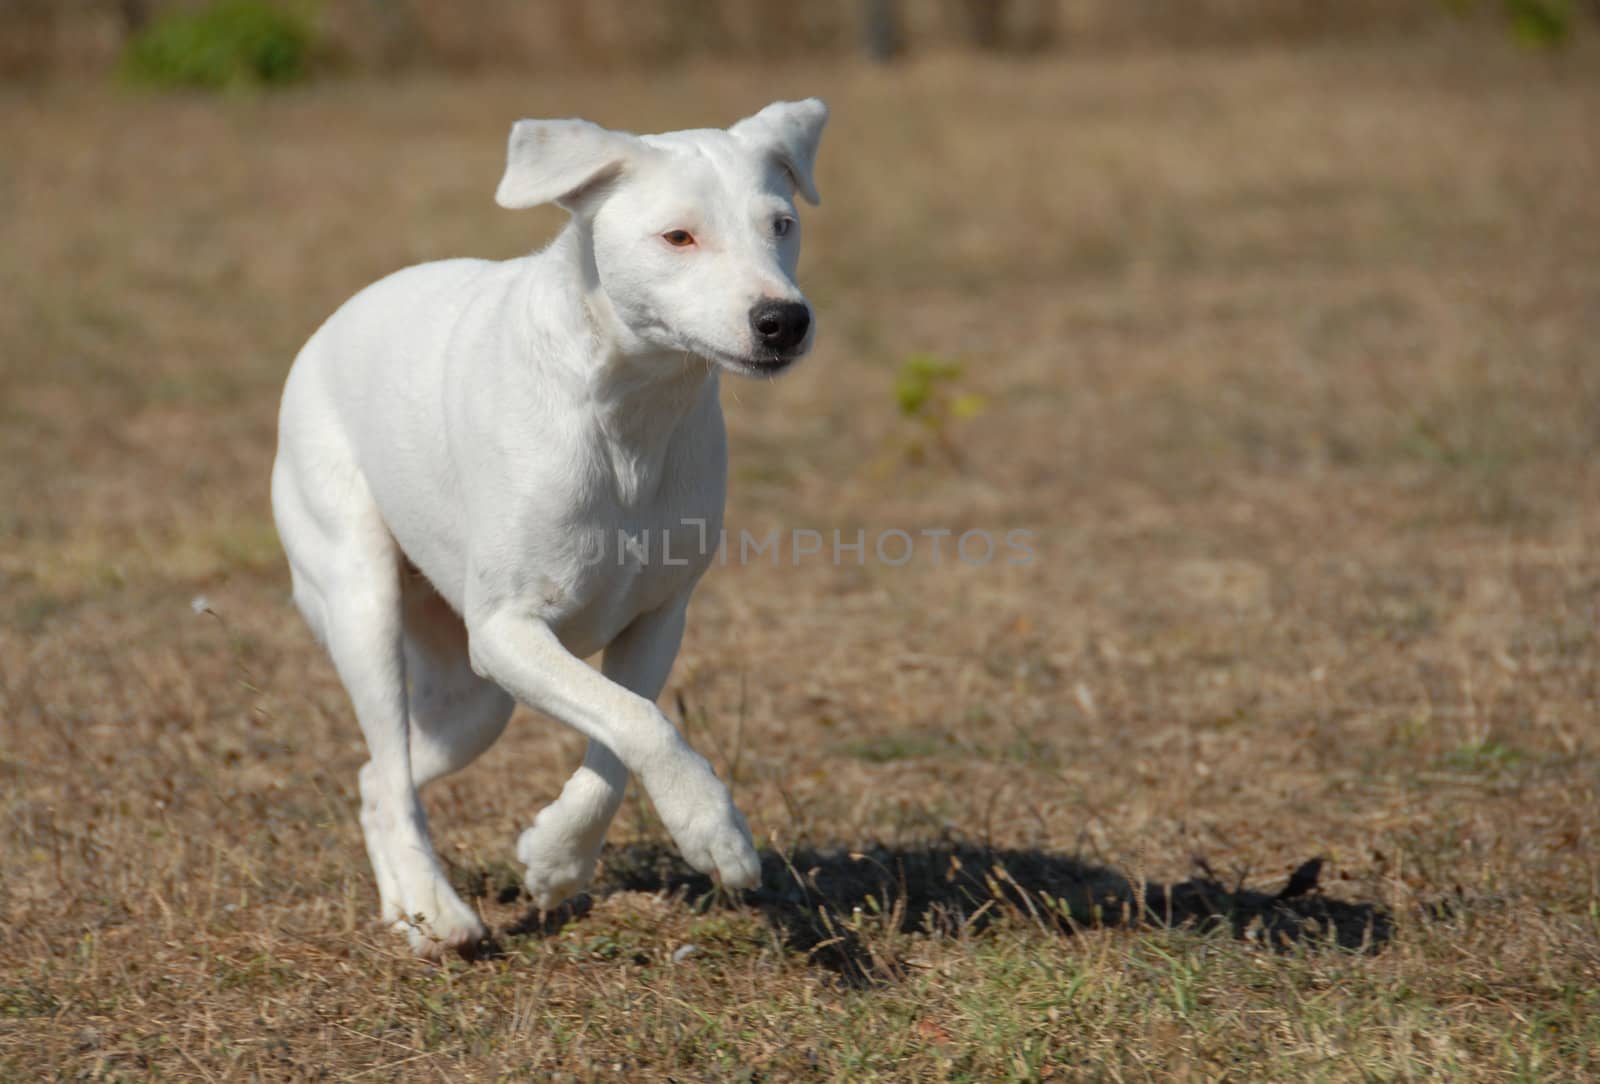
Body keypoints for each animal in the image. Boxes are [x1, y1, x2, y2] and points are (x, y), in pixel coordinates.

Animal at [270, 97, 832, 952]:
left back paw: (409, 910)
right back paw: (437, 909)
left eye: (780, 225)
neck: (628, 412)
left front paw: (557, 859)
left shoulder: (655, 620)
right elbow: (642, 724)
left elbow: (619, 732)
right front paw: (715, 832)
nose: (783, 320)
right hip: (362, 603)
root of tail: (331, 324)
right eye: (678, 236)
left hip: (474, 702)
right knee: (390, 769)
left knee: (376, 777)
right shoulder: (507, 630)